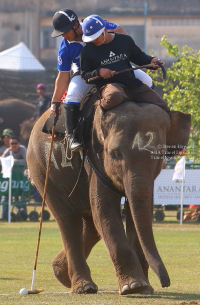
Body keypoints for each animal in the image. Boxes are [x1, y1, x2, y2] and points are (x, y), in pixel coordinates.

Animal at [26, 100, 191, 294]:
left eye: (158, 155)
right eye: (116, 154)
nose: (166, 283)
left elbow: (137, 213)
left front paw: (144, 288)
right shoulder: (94, 159)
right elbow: (105, 212)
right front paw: (133, 286)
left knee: (90, 225)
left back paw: (62, 275)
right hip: (42, 170)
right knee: (69, 220)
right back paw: (84, 287)